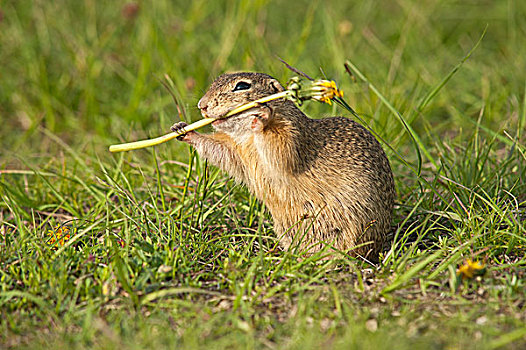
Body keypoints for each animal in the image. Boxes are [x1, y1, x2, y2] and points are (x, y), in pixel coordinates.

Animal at [173, 72, 396, 260]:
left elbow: (282, 150)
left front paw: (262, 117)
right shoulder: (236, 150)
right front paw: (183, 130)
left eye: (242, 86)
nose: (202, 105)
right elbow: (220, 150)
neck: (248, 138)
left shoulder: (292, 132)